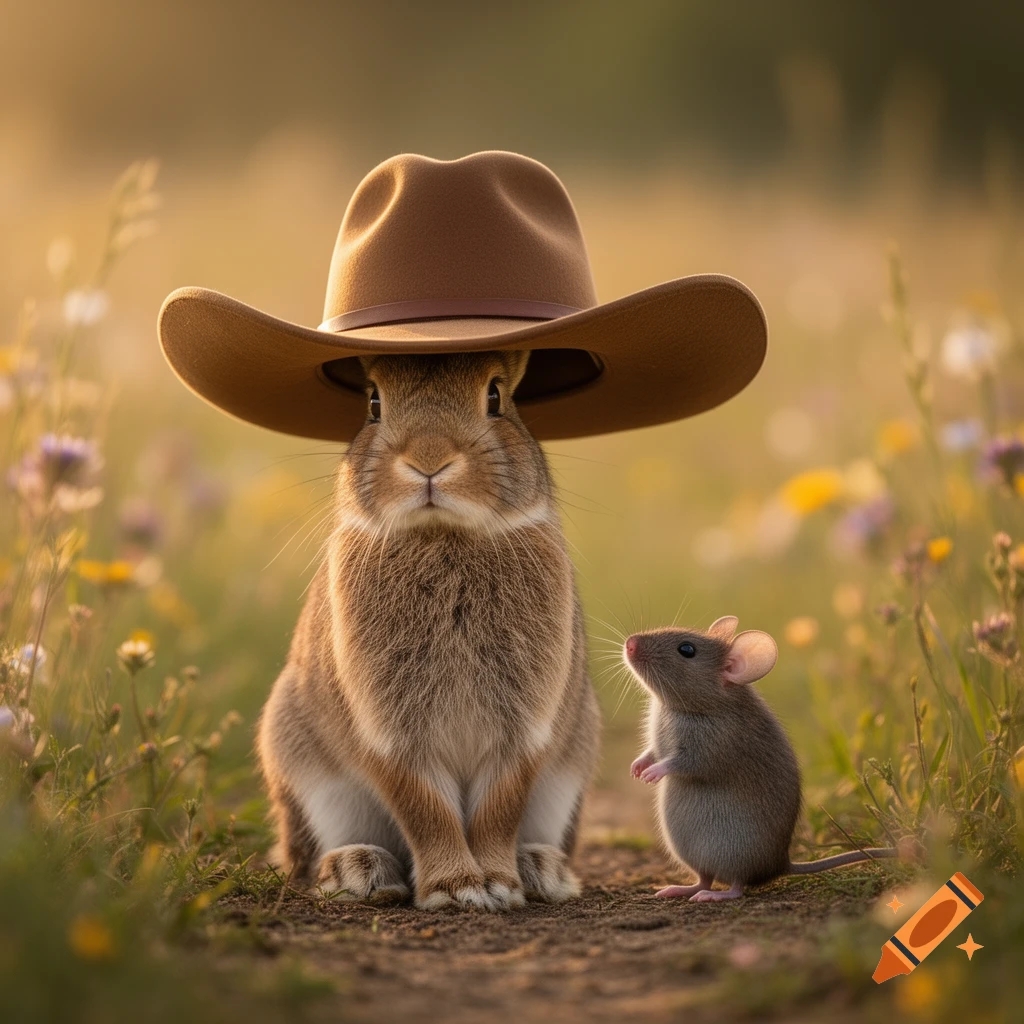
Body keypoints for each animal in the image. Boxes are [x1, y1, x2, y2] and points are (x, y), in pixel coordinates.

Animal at [257, 350, 601, 911]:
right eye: (374, 403)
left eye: (495, 398)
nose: (429, 460)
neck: (444, 535)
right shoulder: (389, 731)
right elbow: (425, 809)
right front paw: (455, 889)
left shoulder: (524, 728)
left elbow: (497, 809)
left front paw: (499, 886)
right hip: (304, 767)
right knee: (308, 859)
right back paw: (358, 869)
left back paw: (541, 870)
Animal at [623, 616, 896, 902]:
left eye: (687, 650)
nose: (629, 644)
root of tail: (780, 865)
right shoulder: (658, 744)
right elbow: (651, 753)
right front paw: (637, 768)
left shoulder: (708, 749)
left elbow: (678, 763)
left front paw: (652, 774)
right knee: (704, 879)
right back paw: (677, 889)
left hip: (733, 855)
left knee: (737, 886)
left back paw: (715, 895)